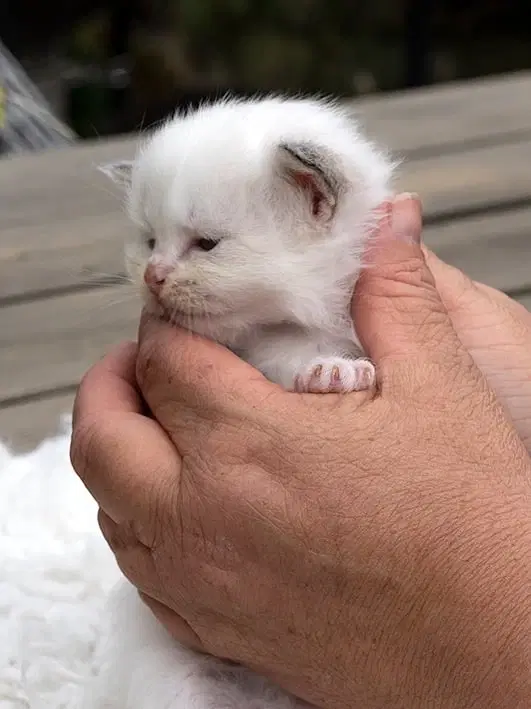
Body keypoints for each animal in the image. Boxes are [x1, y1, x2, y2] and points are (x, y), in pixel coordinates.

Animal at [90, 95, 400, 708]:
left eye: (207, 244)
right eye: (148, 239)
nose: (153, 275)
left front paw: (336, 364)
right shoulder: (261, 351)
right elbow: (288, 357)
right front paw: (329, 370)